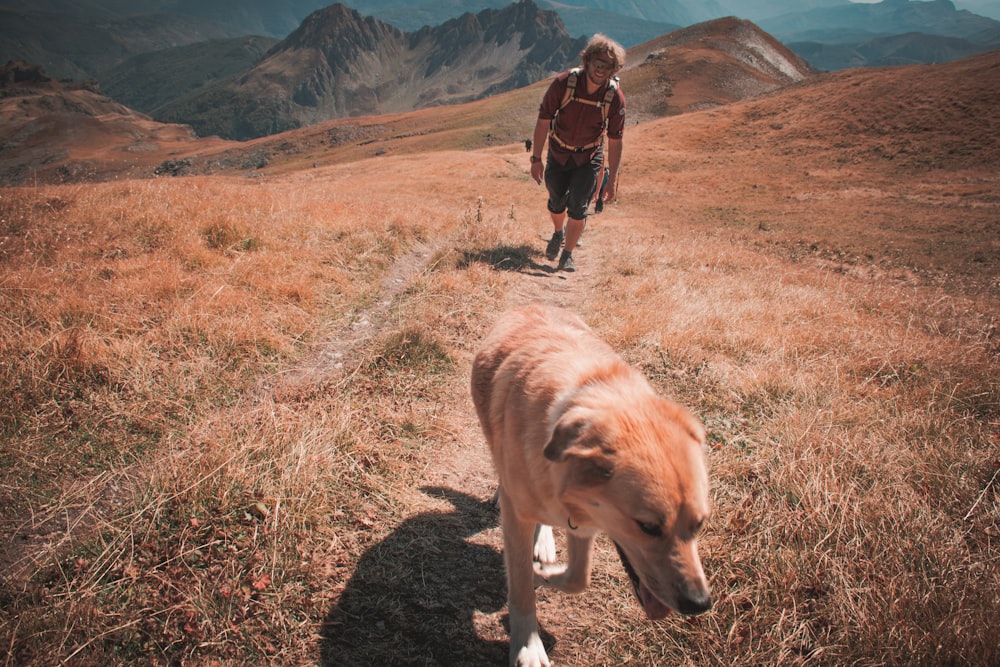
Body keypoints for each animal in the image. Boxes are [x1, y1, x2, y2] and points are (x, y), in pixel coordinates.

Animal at [474, 306, 716, 667]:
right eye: (648, 527)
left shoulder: (583, 520)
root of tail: (535, 305)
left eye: (699, 524)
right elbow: (521, 589)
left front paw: (545, 575)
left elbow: (578, 578)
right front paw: (528, 645)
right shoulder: (519, 520)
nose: (699, 604)